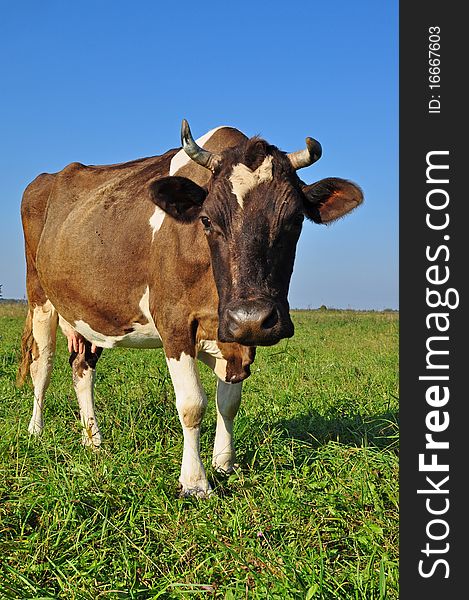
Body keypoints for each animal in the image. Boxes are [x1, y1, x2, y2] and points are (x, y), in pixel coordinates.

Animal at [17, 120, 362, 496]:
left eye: (295, 219)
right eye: (207, 220)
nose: (253, 317)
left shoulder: (234, 332)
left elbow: (229, 401)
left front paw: (224, 464)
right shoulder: (174, 322)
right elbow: (192, 403)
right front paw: (195, 481)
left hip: (92, 312)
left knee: (82, 368)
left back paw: (93, 440)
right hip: (40, 297)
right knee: (42, 364)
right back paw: (35, 430)